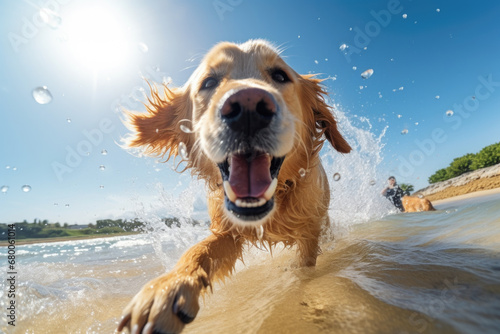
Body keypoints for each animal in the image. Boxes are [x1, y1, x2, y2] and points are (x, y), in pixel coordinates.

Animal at [117, 38, 352, 332]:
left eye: (280, 76)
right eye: (209, 82)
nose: (248, 107)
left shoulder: (310, 230)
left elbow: (304, 269)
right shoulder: (226, 232)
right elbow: (197, 252)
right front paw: (166, 289)